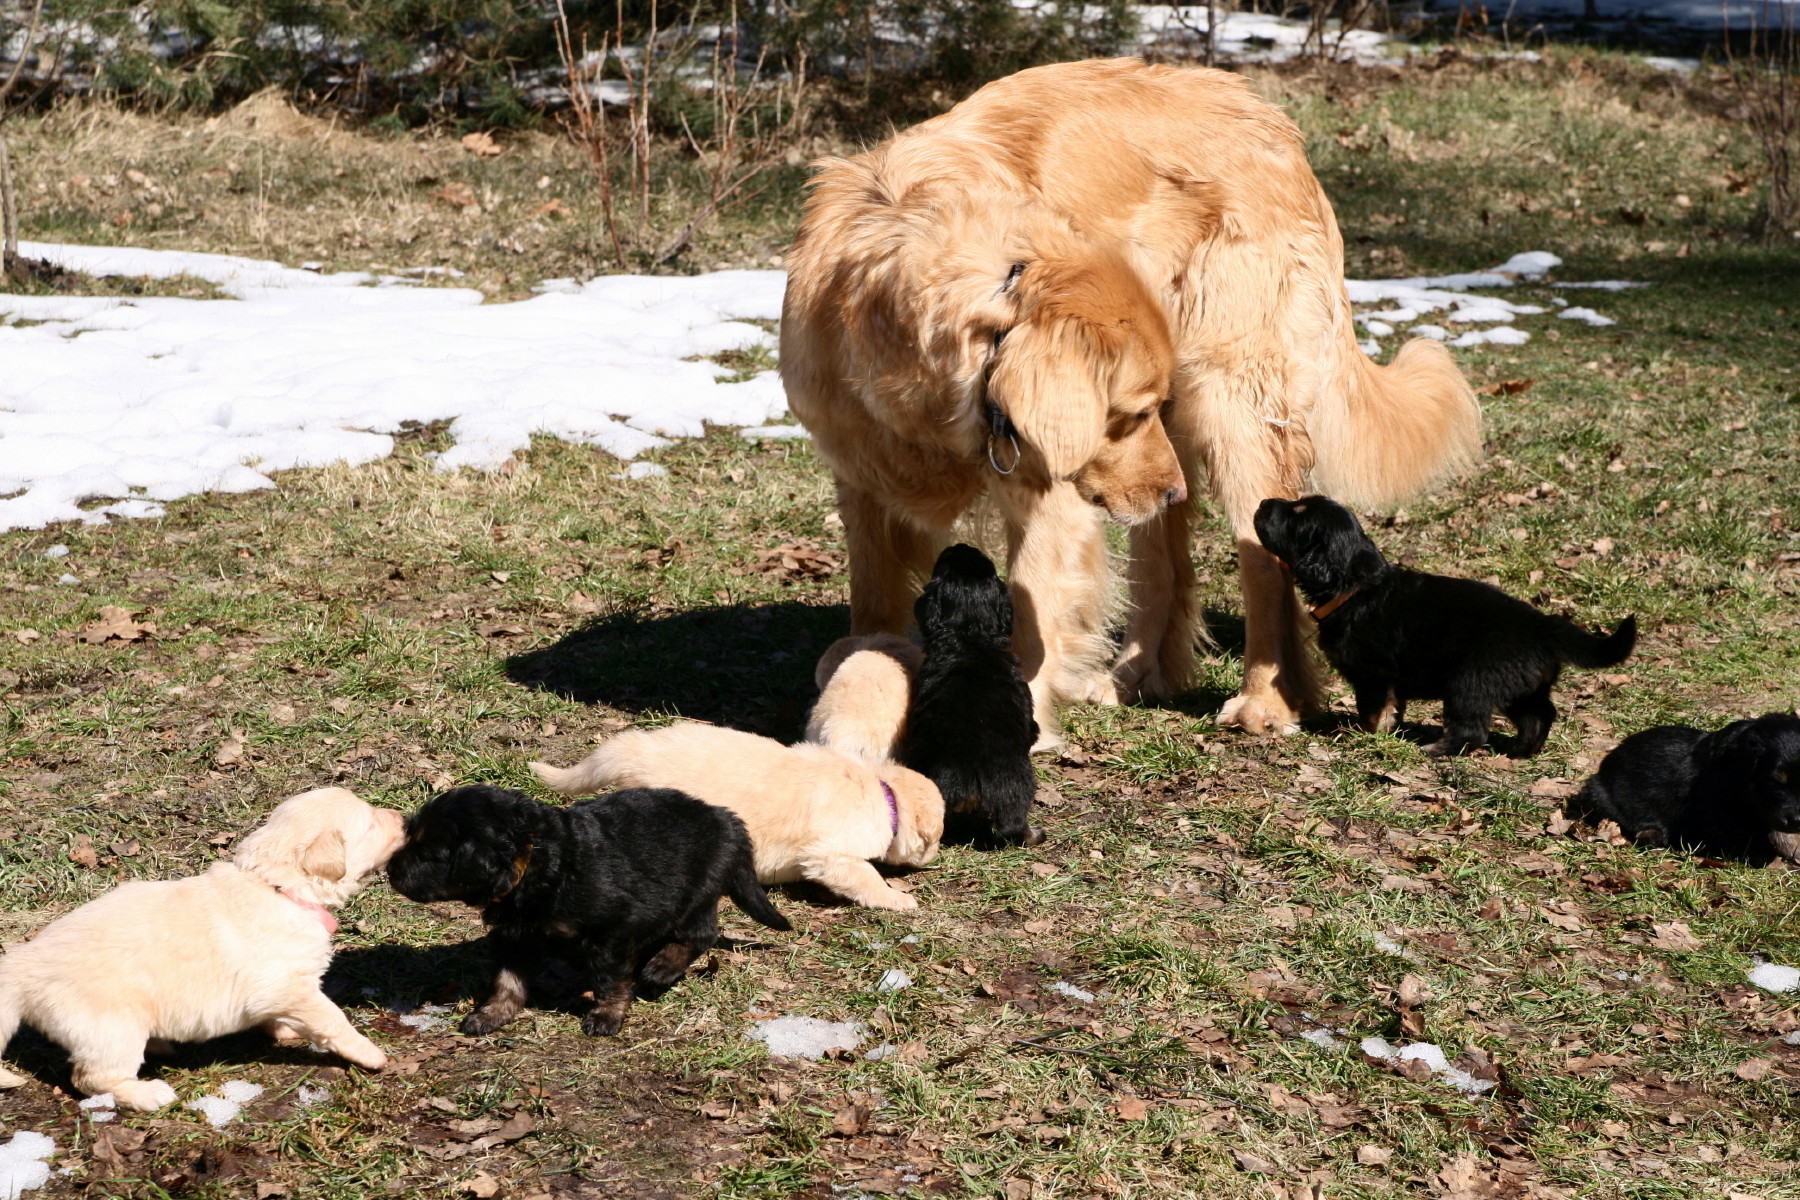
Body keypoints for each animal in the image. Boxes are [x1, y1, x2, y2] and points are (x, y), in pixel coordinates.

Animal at [0, 787, 404, 1110]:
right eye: (371, 822)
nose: (402, 817)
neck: (277, 886)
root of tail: (23, 961)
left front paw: (285, 1031)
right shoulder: (290, 985)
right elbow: (332, 1019)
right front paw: (371, 1054)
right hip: (111, 1028)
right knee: (91, 1078)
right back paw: (148, 1094)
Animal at [387, 785, 789, 1037]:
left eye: (429, 854)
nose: (390, 870)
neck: (536, 859)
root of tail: (727, 819)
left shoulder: (613, 929)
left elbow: (609, 980)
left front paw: (607, 1016)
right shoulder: (515, 935)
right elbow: (507, 979)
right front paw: (492, 1014)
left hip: (697, 891)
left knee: (700, 933)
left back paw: (661, 967)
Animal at [532, 726, 943, 911]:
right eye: (935, 839)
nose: (937, 854)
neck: (885, 792)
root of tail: (634, 750)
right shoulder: (832, 855)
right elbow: (866, 877)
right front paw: (898, 898)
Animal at [781, 58, 1479, 746]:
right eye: (1131, 413)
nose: (1171, 489)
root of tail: (1275, 124)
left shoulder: (1046, 489)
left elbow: (1030, 609)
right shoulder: (862, 476)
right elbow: (873, 596)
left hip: (1231, 409)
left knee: (1266, 563)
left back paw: (1268, 700)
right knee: (1164, 560)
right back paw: (1142, 674)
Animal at [1254, 495, 1636, 757]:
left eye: (1297, 514)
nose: (1263, 503)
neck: (1354, 586)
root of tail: (1543, 624)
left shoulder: (1373, 673)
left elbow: (1372, 709)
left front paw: (1366, 734)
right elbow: (1392, 708)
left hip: (1470, 683)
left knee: (1473, 729)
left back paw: (1437, 750)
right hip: (1519, 686)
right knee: (1540, 713)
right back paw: (1522, 750)